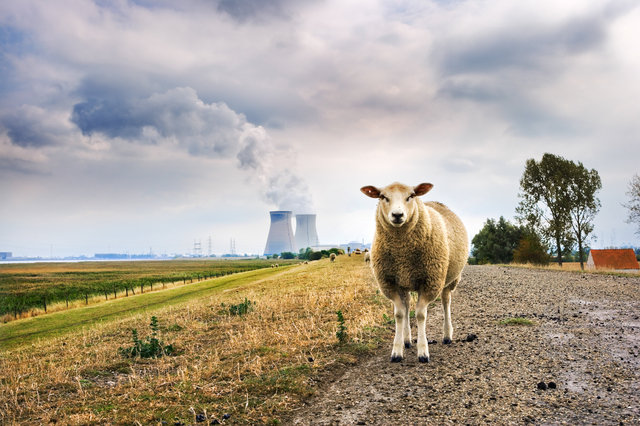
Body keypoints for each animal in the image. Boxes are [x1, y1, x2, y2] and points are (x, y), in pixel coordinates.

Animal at [360, 181, 470, 362]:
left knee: (446, 301)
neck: (402, 252)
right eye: (383, 197)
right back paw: (407, 340)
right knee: (406, 306)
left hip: (449, 279)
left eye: (411, 196)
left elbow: (420, 315)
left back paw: (447, 335)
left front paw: (423, 352)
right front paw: (397, 351)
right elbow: (399, 314)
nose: (397, 215)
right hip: (405, 282)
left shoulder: (430, 282)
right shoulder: (390, 283)